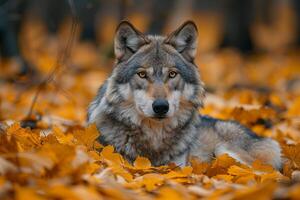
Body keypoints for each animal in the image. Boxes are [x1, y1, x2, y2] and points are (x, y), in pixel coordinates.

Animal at [86, 20, 282, 170]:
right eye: (142, 74)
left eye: (173, 74)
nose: (161, 106)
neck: (154, 141)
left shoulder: (179, 165)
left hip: (226, 150)